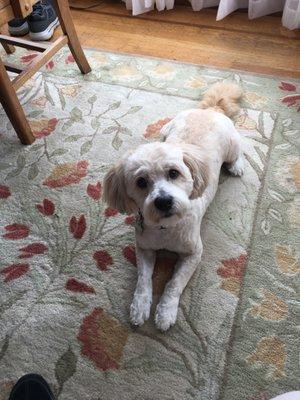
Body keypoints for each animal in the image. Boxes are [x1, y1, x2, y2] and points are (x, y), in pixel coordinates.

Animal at [103, 81, 244, 332]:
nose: (164, 201)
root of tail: (210, 110)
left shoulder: (193, 253)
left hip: (232, 145)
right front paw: (139, 307)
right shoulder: (144, 248)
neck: (165, 228)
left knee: (239, 152)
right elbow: (143, 280)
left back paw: (237, 166)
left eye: (174, 173)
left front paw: (166, 312)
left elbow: (174, 283)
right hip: (165, 130)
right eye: (141, 182)